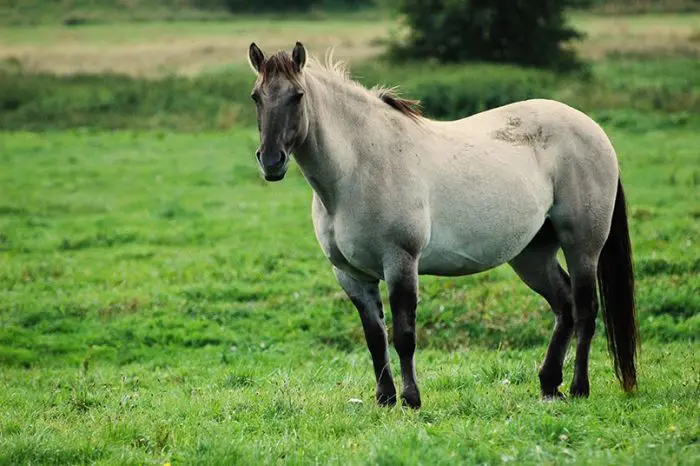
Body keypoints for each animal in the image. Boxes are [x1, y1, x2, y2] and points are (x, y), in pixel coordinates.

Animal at [247, 43, 640, 408]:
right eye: (256, 96)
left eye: (297, 96)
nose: (271, 161)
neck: (360, 167)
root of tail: (593, 129)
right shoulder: (351, 275)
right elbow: (375, 339)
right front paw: (385, 398)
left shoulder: (401, 262)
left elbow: (404, 335)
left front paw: (411, 399)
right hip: (532, 254)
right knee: (565, 306)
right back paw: (548, 384)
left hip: (583, 245)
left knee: (586, 309)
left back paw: (578, 388)